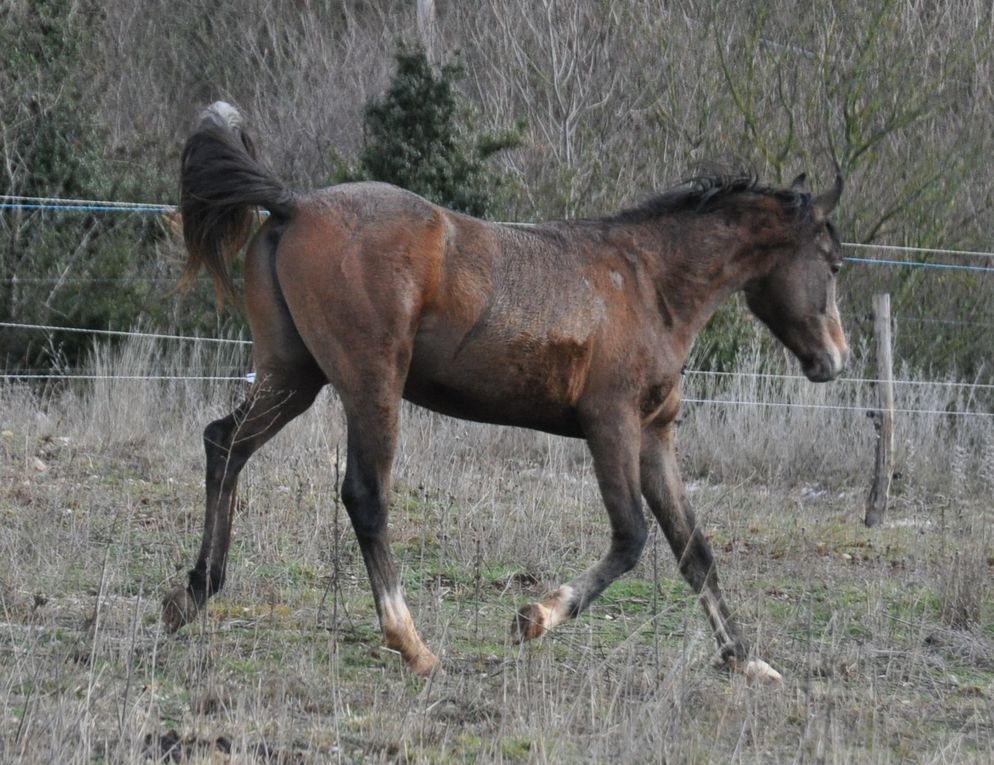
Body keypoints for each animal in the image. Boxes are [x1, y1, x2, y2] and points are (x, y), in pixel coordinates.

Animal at [163, 101, 844, 680]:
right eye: (834, 262)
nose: (834, 359)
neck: (647, 285)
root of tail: (295, 203)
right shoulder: (611, 424)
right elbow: (632, 536)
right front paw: (534, 618)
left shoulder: (654, 436)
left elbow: (693, 549)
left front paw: (746, 660)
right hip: (368, 383)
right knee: (364, 496)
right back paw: (413, 645)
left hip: (293, 379)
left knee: (225, 444)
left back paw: (191, 595)